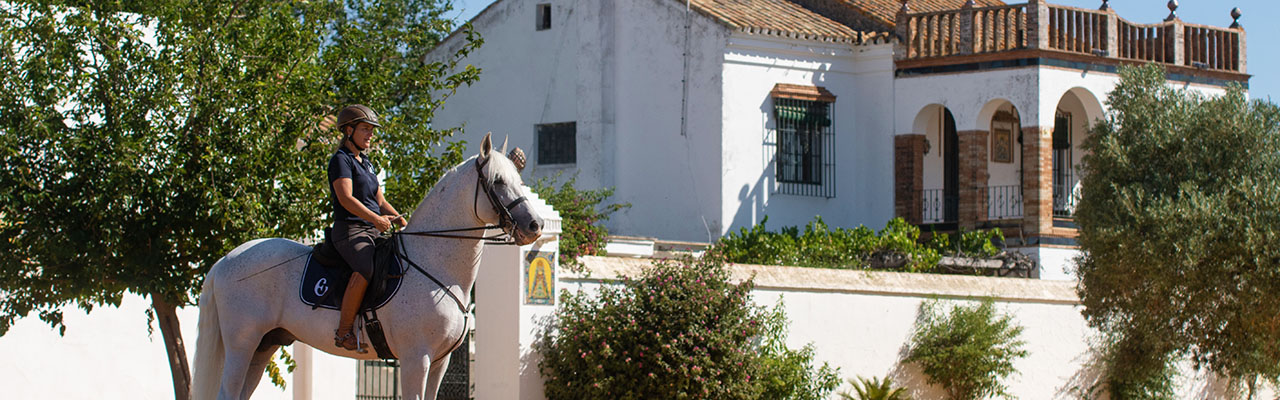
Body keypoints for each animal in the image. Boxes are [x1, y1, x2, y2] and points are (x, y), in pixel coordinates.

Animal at [192, 133, 543, 400]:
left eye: (518, 180)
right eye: (498, 182)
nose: (535, 225)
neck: (436, 266)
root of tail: (225, 260)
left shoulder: (439, 362)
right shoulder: (416, 358)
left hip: (264, 345)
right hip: (242, 343)